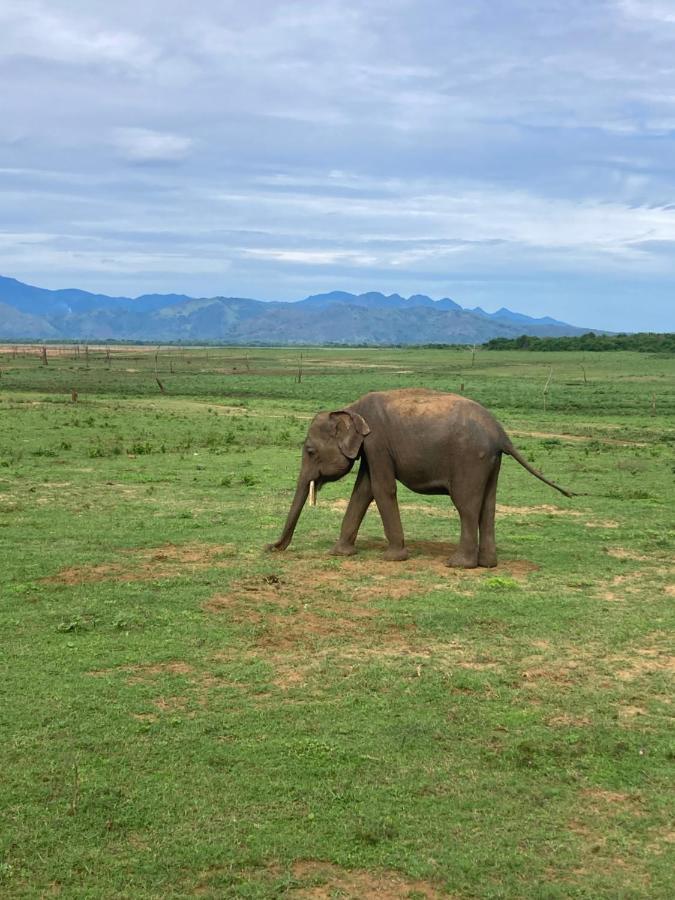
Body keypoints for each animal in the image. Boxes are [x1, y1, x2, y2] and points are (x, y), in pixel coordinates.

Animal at [266, 388, 572, 568]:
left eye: (310, 451)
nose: (270, 547)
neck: (350, 408)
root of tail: (501, 434)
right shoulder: (371, 450)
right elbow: (363, 490)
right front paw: (340, 553)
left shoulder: (377, 443)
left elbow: (382, 488)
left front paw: (393, 558)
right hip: (492, 463)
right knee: (488, 506)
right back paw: (488, 564)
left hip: (471, 460)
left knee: (467, 506)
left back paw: (458, 564)